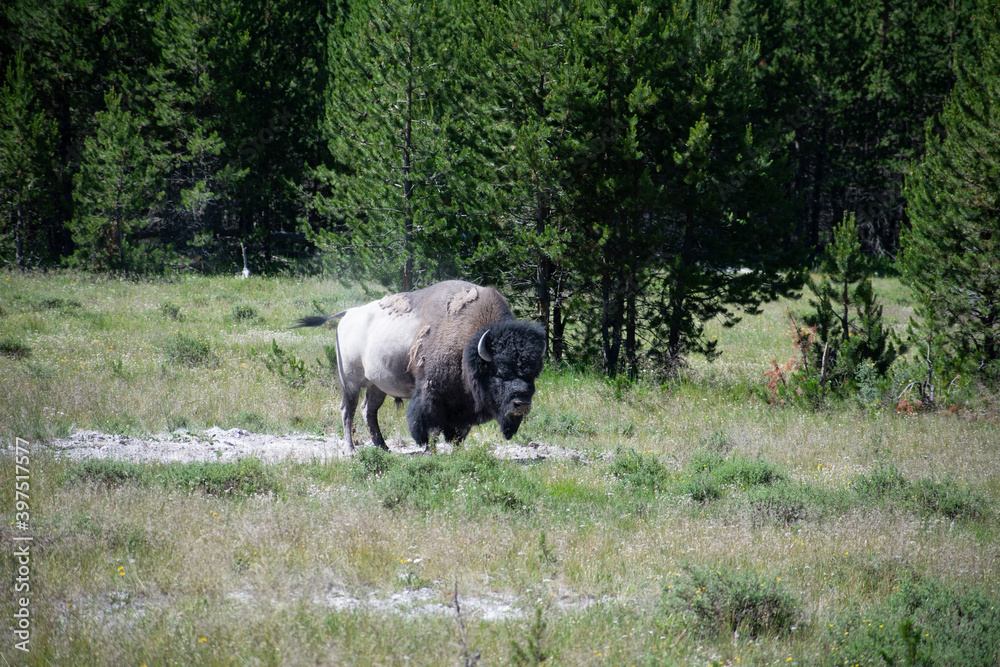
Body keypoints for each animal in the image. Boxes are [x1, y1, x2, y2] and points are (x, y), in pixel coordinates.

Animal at [294, 280, 545, 452]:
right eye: (500, 373)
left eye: (533, 374)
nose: (522, 404)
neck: (468, 347)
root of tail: (348, 314)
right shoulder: (430, 393)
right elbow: (428, 426)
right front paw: (428, 449)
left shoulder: (462, 405)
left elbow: (459, 432)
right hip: (351, 381)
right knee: (349, 410)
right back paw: (351, 450)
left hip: (376, 385)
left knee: (369, 410)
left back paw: (383, 448)